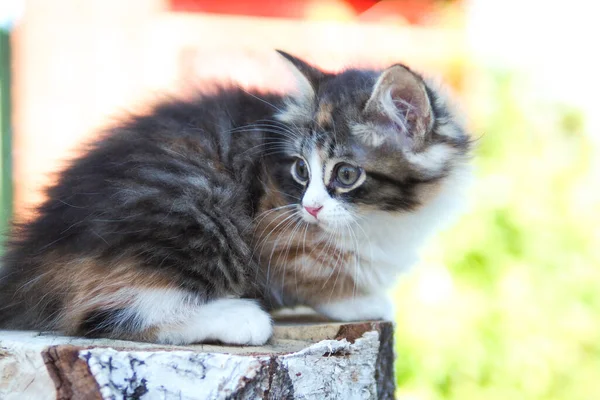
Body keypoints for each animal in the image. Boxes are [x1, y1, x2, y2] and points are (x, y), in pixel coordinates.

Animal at [0, 50, 468, 344]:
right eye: (300, 170)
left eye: (346, 174)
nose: (310, 207)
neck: (382, 217)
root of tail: (30, 256)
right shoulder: (275, 230)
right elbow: (316, 276)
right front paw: (359, 299)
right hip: (197, 207)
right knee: (101, 312)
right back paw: (239, 317)